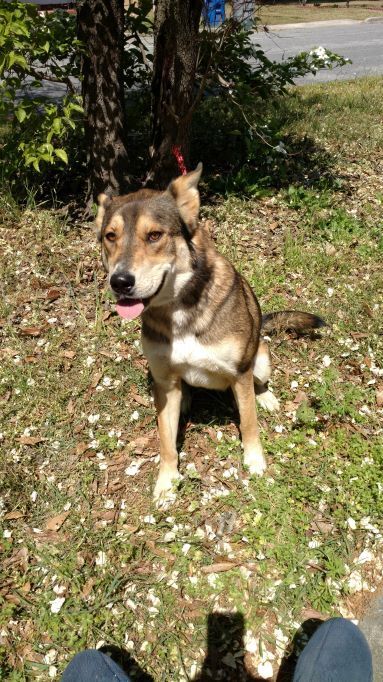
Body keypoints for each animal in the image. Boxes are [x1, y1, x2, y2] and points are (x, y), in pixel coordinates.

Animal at [95, 165, 324, 502]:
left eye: (154, 235)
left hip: (260, 357)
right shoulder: (164, 381)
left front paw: (254, 460)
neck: (180, 309)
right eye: (110, 236)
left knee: (259, 383)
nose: (120, 281)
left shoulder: (240, 373)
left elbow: (249, 422)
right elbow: (166, 442)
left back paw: (266, 397)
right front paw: (166, 482)